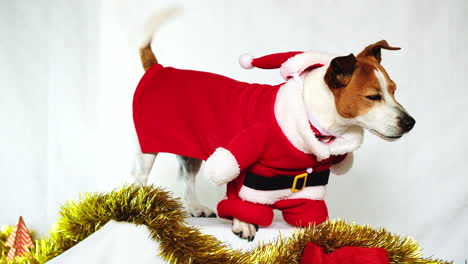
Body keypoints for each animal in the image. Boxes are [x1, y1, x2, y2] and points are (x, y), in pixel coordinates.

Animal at [130, 15, 414, 240]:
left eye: (394, 90)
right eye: (373, 97)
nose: (410, 122)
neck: (312, 118)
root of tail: (159, 69)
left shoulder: (310, 176)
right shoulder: (243, 159)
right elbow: (241, 198)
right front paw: (244, 223)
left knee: (186, 176)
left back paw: (194, 206)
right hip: (148, 145)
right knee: (139, 176)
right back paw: (140, 207)